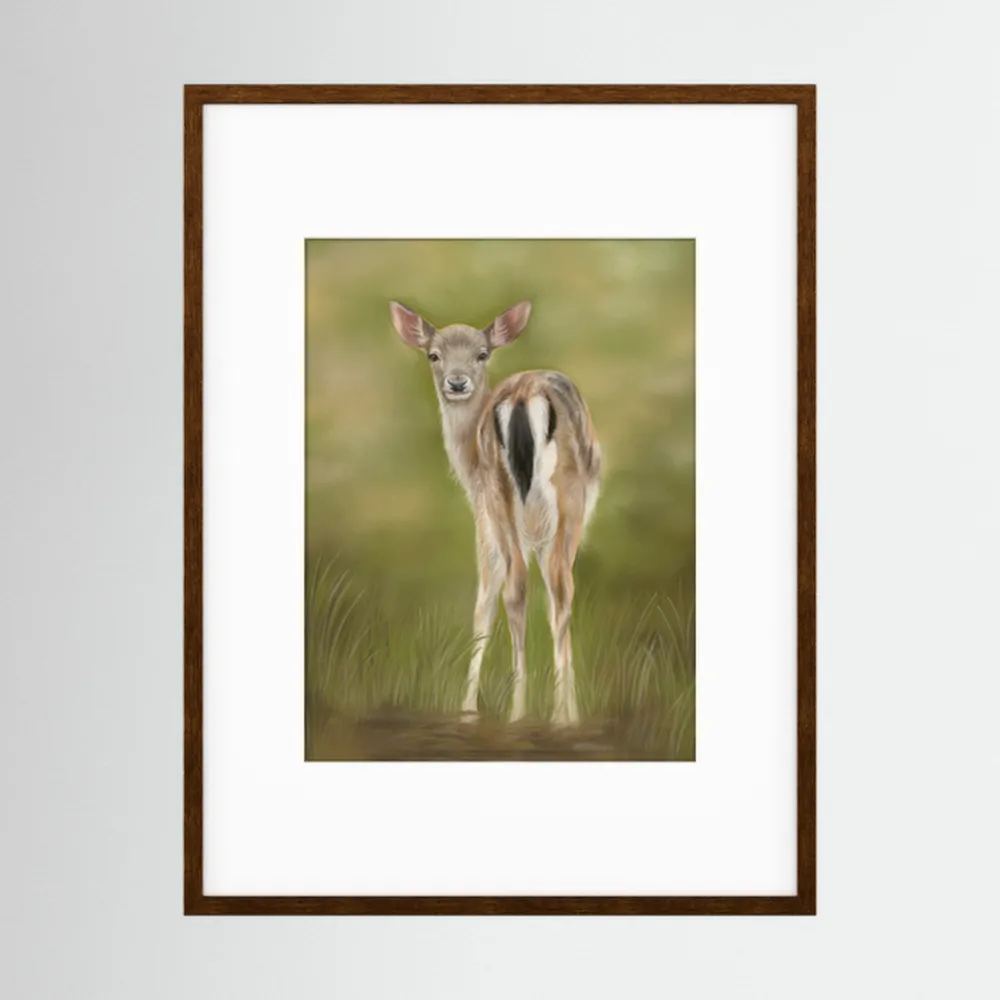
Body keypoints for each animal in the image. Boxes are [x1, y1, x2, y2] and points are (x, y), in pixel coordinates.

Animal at [390, 300, 601, 726]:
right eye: (433, 354)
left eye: (482, 354)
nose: (456, 383)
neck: (467, 466)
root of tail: (523, 396)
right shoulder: (497, 520)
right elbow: (493, 599)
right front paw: (469, 708)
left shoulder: (492, 517)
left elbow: (488, 599)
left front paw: (469, 708)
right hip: (547, 501)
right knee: (547, 587)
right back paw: (540, 714)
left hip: (510, 498)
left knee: (528, 585)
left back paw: (528, 711)